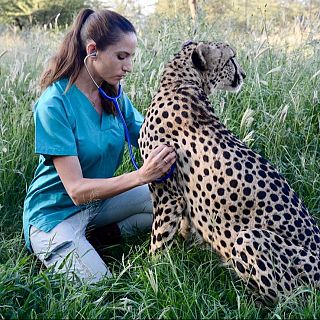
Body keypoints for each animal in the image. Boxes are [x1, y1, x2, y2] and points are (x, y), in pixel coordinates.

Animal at [139, 41, 320, 304]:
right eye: (231, 59)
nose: (243, 74)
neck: (181, 82)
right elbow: (180, 227)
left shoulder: (167, 193)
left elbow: (158, 239)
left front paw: (148, 272)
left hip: (249, 239)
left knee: (292, 300)